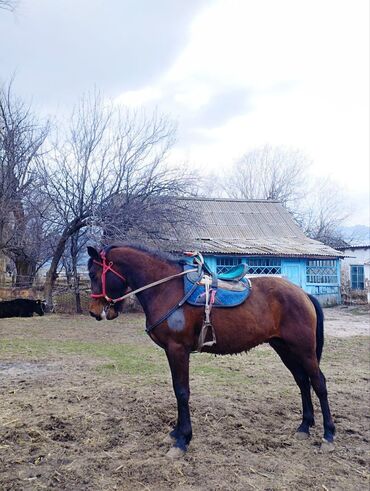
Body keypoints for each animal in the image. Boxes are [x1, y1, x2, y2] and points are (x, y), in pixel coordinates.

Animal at [88, 245, 336, 458]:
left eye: (92, 274)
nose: (94, 311)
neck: (166, 289)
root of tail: (304, 295)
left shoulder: (178, 350)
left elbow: (181, 392)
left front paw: (183, 440)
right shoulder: (172, 352)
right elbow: (177, 390)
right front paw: (176, 433)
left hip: (304, 350)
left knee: (319, 383)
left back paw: (328, 434)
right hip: (284, 348)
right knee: (302, 381)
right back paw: (304, 426)